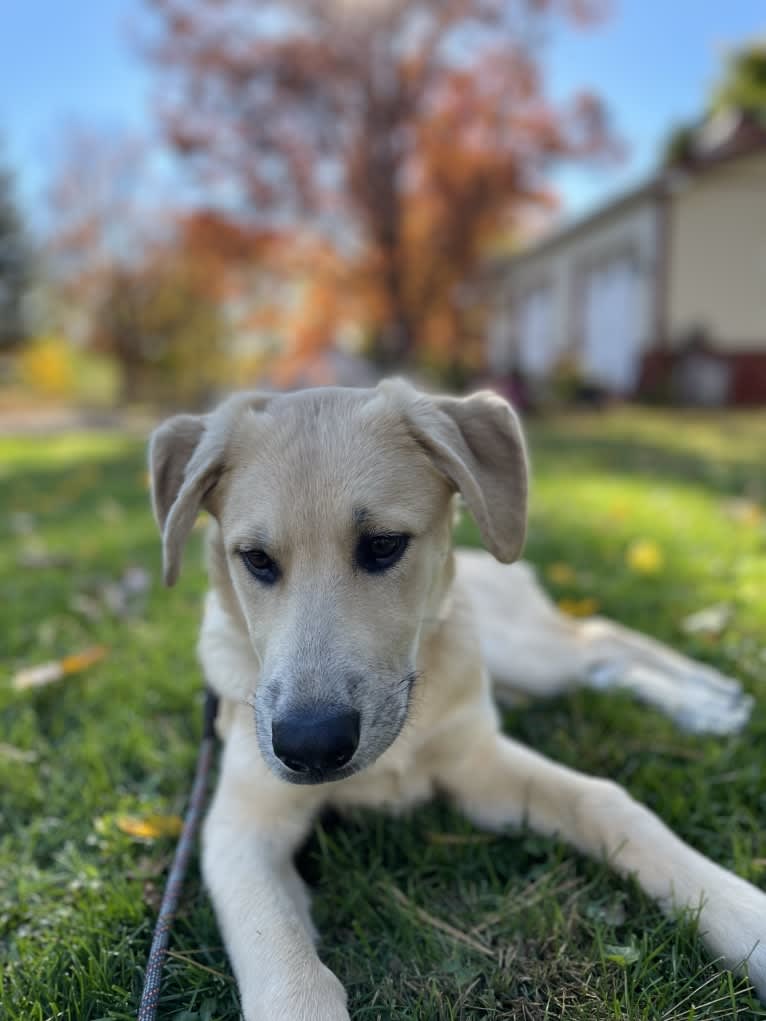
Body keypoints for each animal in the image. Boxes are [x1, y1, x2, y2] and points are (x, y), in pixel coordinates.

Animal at [147, 379, 763, 1016]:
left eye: (384, 546)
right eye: (257, 560)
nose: (310, 747)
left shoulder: (478, 766)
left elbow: (605, 802)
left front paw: (746, 919)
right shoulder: (241, 828)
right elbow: (285, 964)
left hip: (522, 651)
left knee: (598, 639)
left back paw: (707, 697)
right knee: (599, 659)